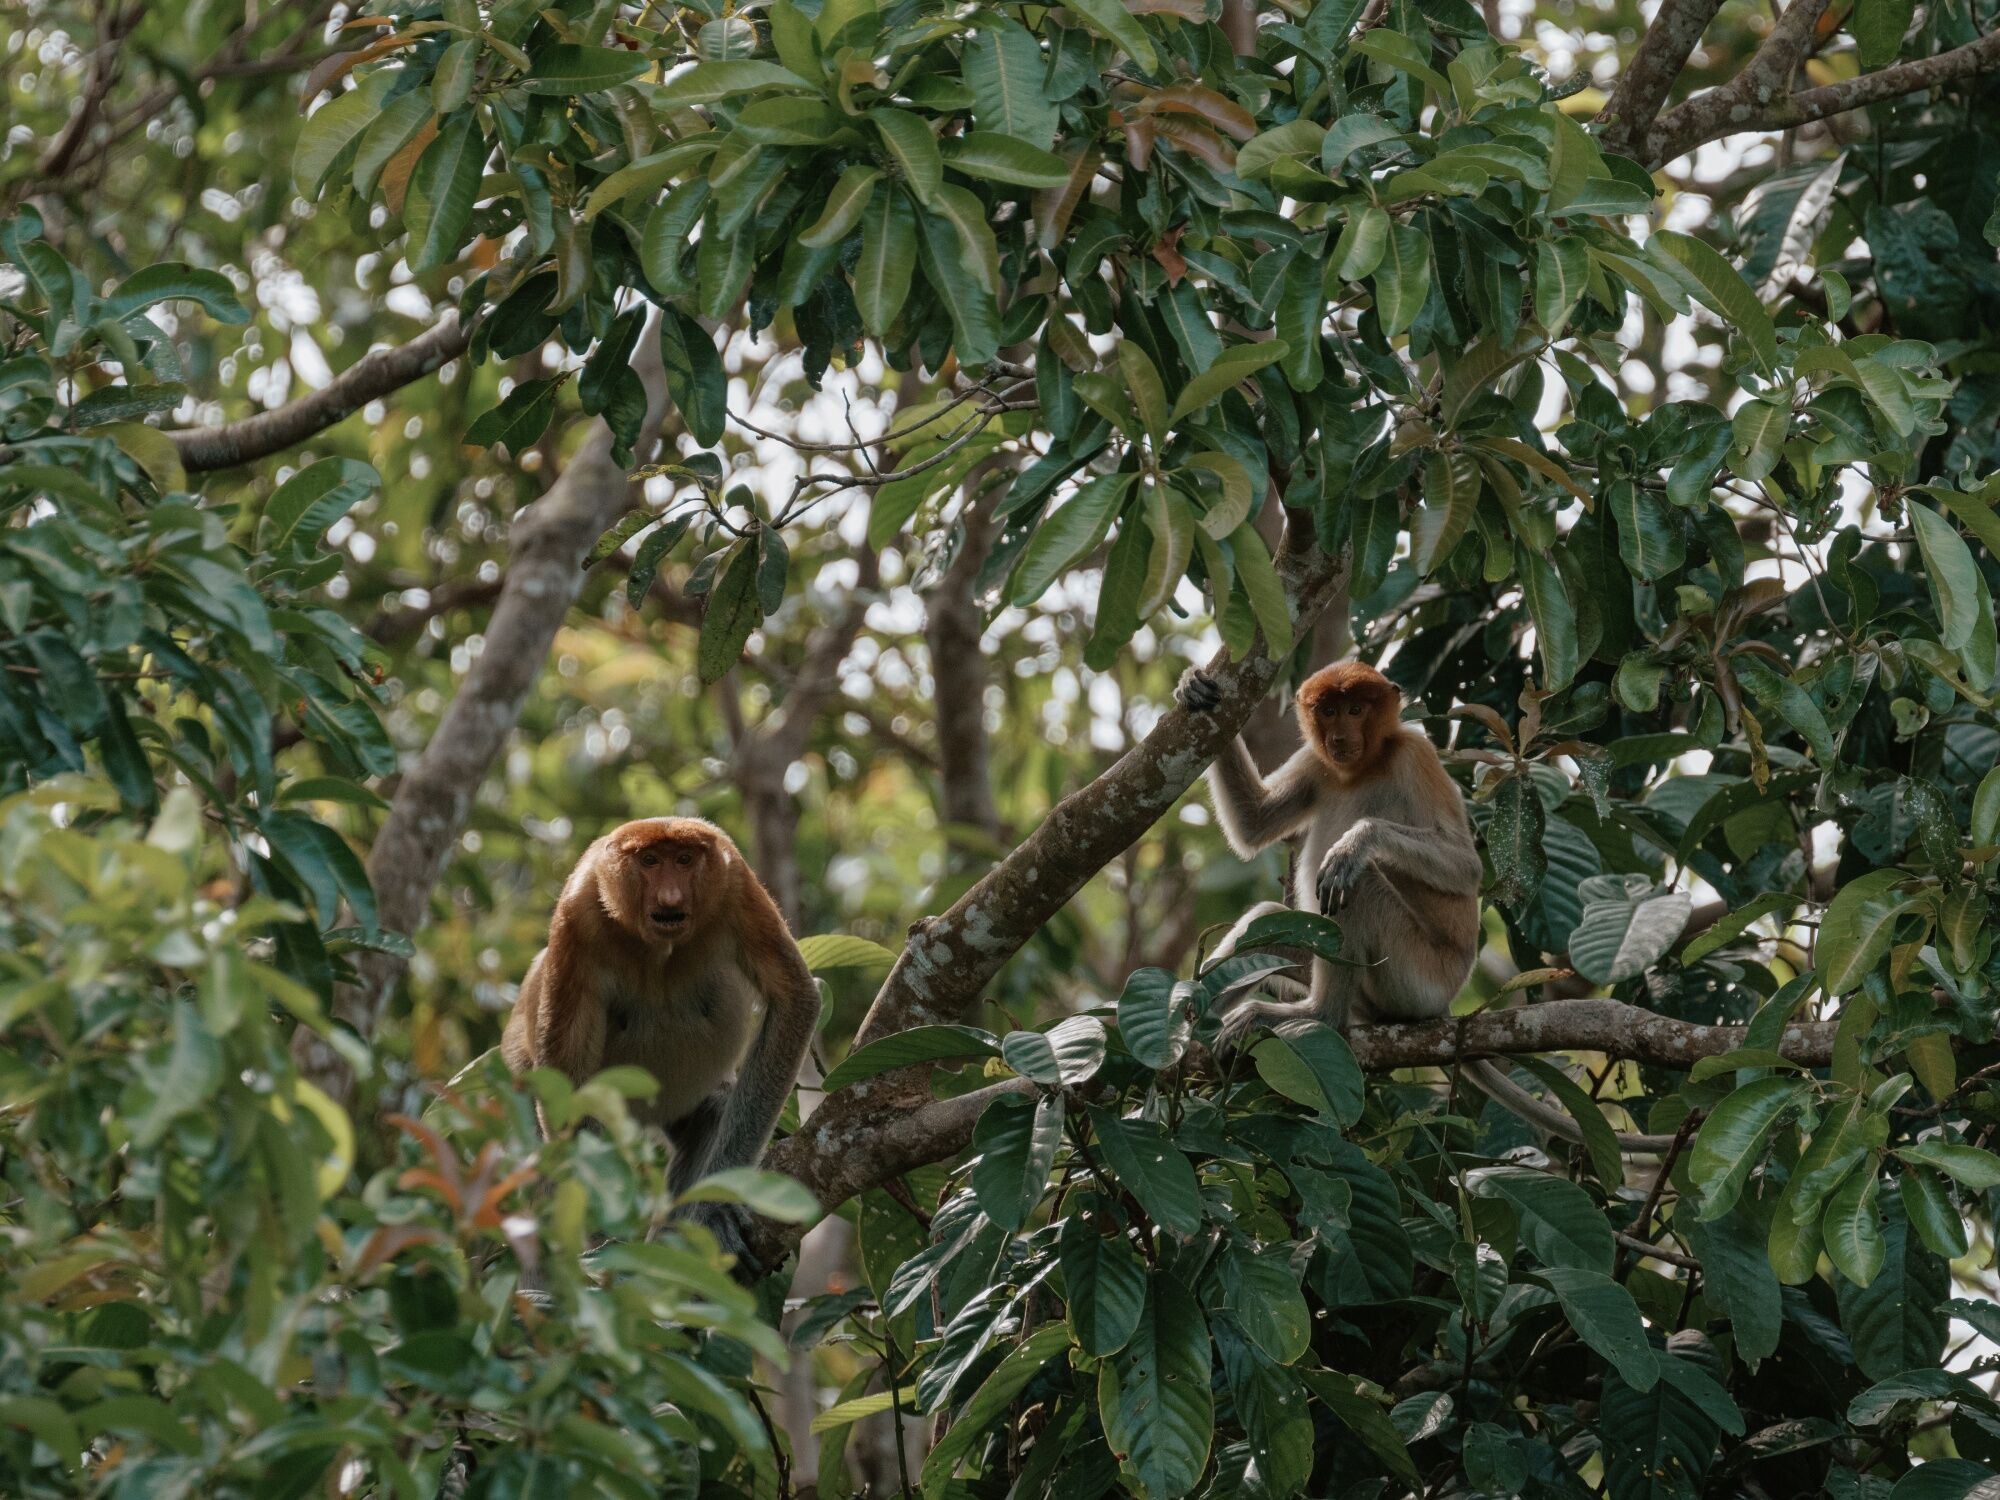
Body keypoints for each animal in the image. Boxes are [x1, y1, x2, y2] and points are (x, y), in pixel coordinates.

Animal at [504, 824, 824, 1272]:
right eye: (650, 861)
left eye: (685, 860)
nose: (670, 899)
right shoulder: (577, 912)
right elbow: (565, 1074)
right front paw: (600, 1244)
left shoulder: (735, 885)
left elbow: (793, 999)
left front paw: (716, 1211)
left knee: (713, 1111)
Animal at [1176, 656, 1680, 1152]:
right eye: (1329, 711)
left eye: (1356, 710)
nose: (1339, 739)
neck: (1365, 765)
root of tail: (1445, 1004)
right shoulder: (1316, 762)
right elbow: (1253, 823)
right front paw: (1195, 687)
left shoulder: (1414, 754)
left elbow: (1464, 867)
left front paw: (1357, 843)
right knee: (1271, 922)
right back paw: (1187, 1018)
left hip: (1415, 979)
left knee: (1359, 890)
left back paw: (1314, 1015)